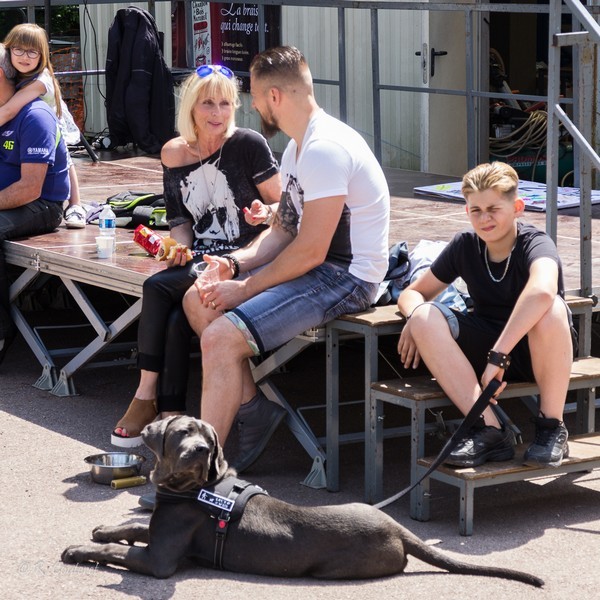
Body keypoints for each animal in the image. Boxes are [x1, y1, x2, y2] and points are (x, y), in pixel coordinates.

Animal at [62, 416, 543, 586]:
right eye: (183, 432)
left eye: (208, 439)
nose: (199, 451)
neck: (189, 489)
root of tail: (397, 528)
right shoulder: (160, 528)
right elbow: (132, 527)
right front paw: (104, 529)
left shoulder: (161, 560)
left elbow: (118, 550)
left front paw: (79, 548)